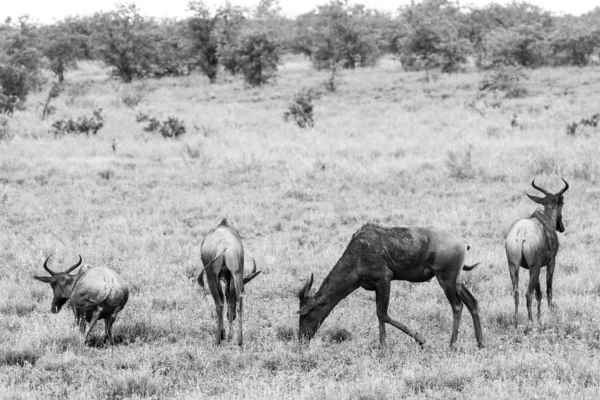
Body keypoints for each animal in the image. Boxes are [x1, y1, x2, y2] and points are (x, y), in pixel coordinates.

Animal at [198, 217, 262, 346]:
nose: (231, 316)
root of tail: (223, 246)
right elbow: (228, 296)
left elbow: (223, 297)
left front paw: (223, 334)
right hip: (236, 274)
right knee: (240, 301)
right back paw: (239, 340)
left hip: (212, 277)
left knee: (219, 303)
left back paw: (218, 340)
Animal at [298, 225, 486, 350]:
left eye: (306, 314)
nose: (301, 340)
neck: (358, 250)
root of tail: (463, 243)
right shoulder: (377, 286)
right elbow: (379, 315)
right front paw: (383, 347)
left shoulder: (384, 280)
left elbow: (382, 314)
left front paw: (422, 341)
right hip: (456, 281)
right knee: (472, 302)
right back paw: (481, 343)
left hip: (446, 279)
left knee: (457, 305)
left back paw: (452, 345)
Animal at [504, 178, 568, 328]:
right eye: (562, 202)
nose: (561, 228)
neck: (544, 220)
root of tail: (521, 233)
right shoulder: (551, 262)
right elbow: (548, 290)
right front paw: (550, 315)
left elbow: (539, 293)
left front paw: (540, 319)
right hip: (534, 268)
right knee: (528, 294)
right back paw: (530, 322)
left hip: (513, 267)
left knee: (516, 293)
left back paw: (516, 323)